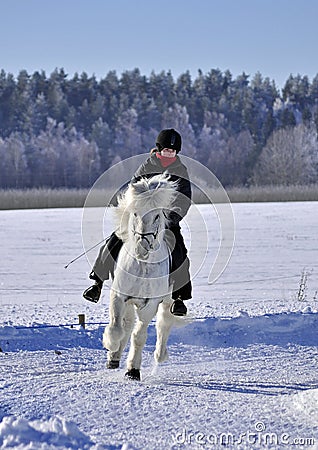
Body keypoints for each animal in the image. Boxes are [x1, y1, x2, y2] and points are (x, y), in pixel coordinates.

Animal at [102, 174, 181, 378]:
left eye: (157, 215)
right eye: (135, 213)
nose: (141, 248)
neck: (143, 264)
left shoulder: (150, 304)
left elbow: (139, 336)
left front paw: (133, 370)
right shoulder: (119, 296)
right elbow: (116, 328)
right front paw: (111, 350)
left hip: (168, 301)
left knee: (164, 323)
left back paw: (160, 355)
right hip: (130, 302)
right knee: (127, 324)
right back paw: (115, 356)